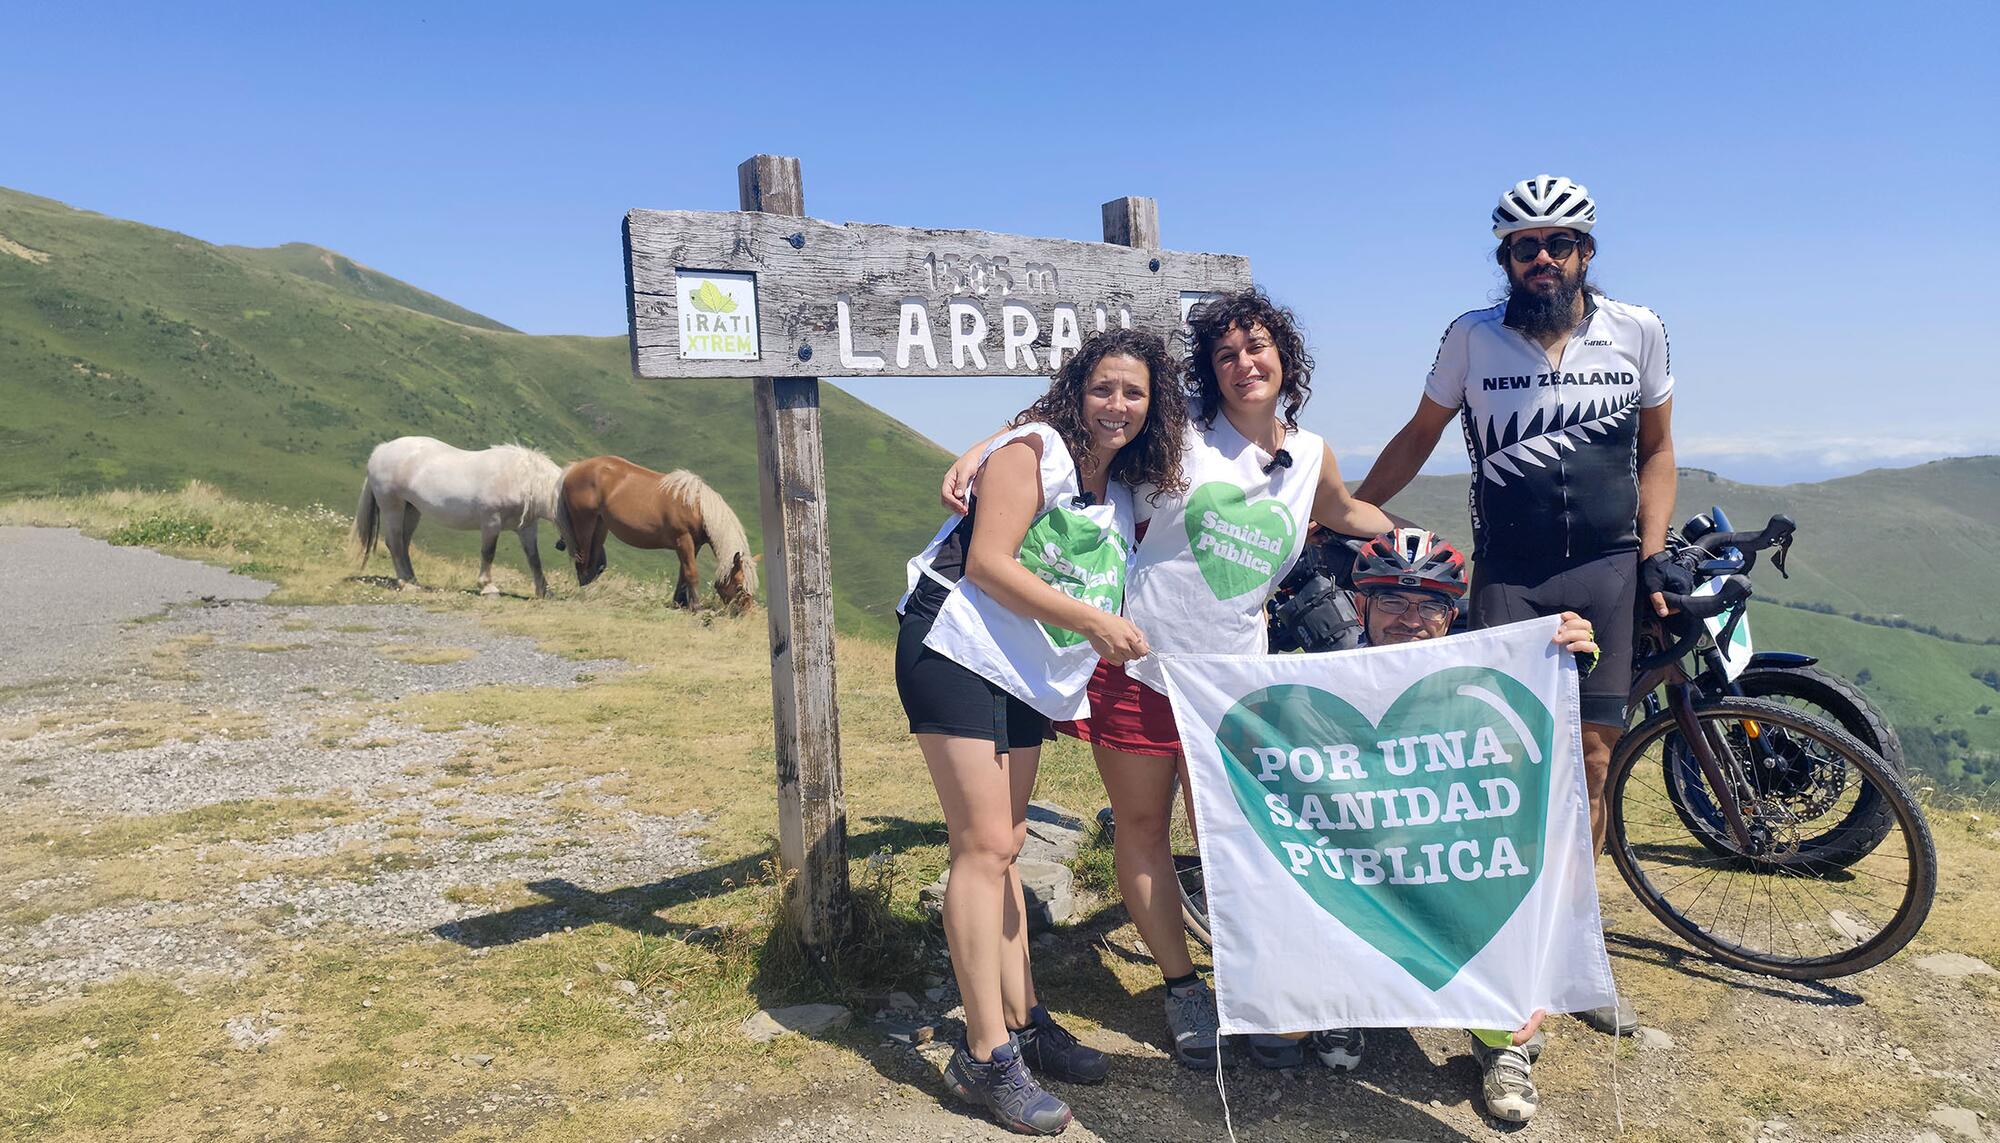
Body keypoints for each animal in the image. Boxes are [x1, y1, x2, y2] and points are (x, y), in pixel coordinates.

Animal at [352, 435, 568, 599]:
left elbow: (534, 558)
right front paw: (488, 587)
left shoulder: (527, 528)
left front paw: (544, 591)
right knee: (394, 542)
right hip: (392, 506)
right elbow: (488, 552)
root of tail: (381, 450)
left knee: (404, 543)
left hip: (411, 509)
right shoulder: (491, 521)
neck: (520, 478)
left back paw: (413, 579)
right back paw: (407, 584)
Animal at [556, 457, 756, 611]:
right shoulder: (683, 540)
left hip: (600, 527)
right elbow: (691, 573)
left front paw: (679, 603)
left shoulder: (694, 544)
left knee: (593, 562)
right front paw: (696, 607)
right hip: (584, 524)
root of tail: (574, 468)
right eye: (739, 586)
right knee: (582, 559)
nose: (746, 613)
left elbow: (683, 574)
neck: (697, 506)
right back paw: (584, 594)